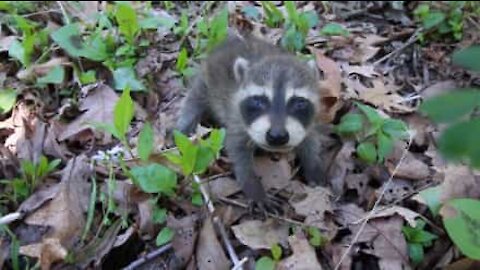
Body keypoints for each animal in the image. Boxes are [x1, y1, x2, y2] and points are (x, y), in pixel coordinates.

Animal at [174, 33, 324, 211]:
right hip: (207, 78)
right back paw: (184, 122)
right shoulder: (237, 118)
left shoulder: (308, 121)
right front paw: (253, 186)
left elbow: (310, 140)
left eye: (298, 103)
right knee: (194, 99)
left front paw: (313, 165)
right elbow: (237, 150)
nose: (277, 136)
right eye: (259, 101)